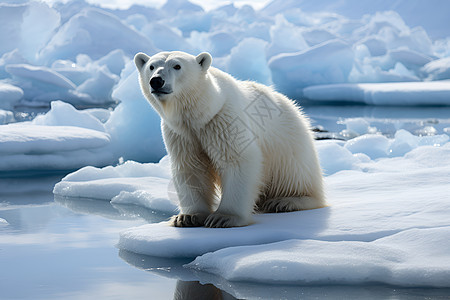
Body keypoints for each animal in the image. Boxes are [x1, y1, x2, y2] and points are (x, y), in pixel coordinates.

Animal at [134, 51, 324, 227]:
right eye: (151, 66)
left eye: (177, 66)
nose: (156, 81)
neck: (202, 113)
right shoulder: (180, 134)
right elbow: (190, 167)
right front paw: (188, 217)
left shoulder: (224, 120)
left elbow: (236, 160)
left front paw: (223, 217)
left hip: (288, 144)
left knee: (294, 174)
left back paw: (286, 201)